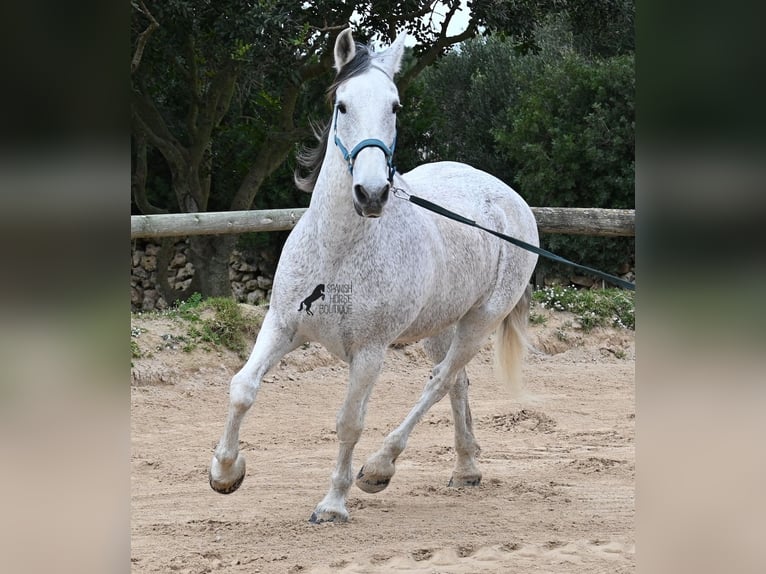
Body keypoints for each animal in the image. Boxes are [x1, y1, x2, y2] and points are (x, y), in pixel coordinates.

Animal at [210, 28, 540, 528]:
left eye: (396, 106)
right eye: (342, 105)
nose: (371, 193)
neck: (336, 252)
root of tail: (509, 198)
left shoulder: (369, 352)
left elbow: (350, 422)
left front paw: (333, 504)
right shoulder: (283, 325)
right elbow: (242, 388)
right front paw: (226, 473)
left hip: (480, 321)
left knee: (439, 382)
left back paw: (380, 468)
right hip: (440, 326)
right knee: (456, 383)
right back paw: (465, 470)